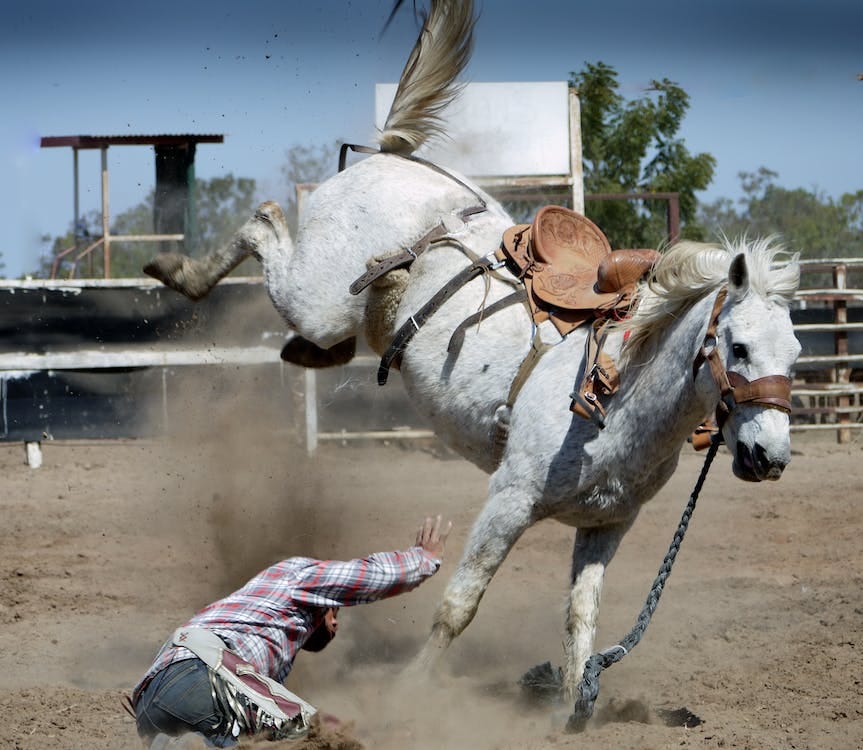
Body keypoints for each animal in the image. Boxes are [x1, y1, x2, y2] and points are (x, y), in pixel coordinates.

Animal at [144, 0, 802, 728]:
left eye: (796, 354)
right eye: (738, 346)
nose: (770, 457)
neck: (619, 392)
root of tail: (391, 158)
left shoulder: (606, 525)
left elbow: (580, 619)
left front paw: (569, 710)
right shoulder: (508, 501)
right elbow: (460, 604)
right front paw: (408, 694)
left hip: (339, 316)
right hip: (315, 297)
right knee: (262, 223)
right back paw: (179, 270)